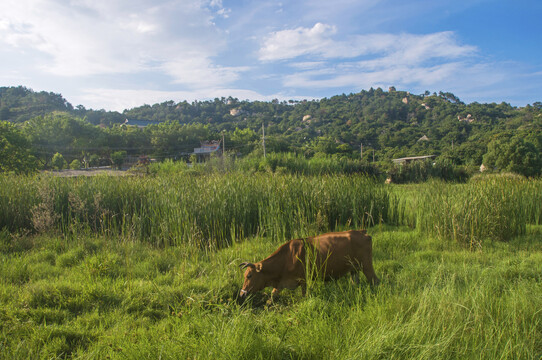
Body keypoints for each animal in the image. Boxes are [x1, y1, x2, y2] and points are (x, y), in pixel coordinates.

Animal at [240, 231, 380, 298]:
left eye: (249, 276)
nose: (242, 294)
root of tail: (362, 232)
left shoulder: (303, 280)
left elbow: (304, 296)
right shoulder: (281, 283)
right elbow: (272, 296)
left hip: (367, 265)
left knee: (375, 281)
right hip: (353, 269)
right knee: (355, 282)